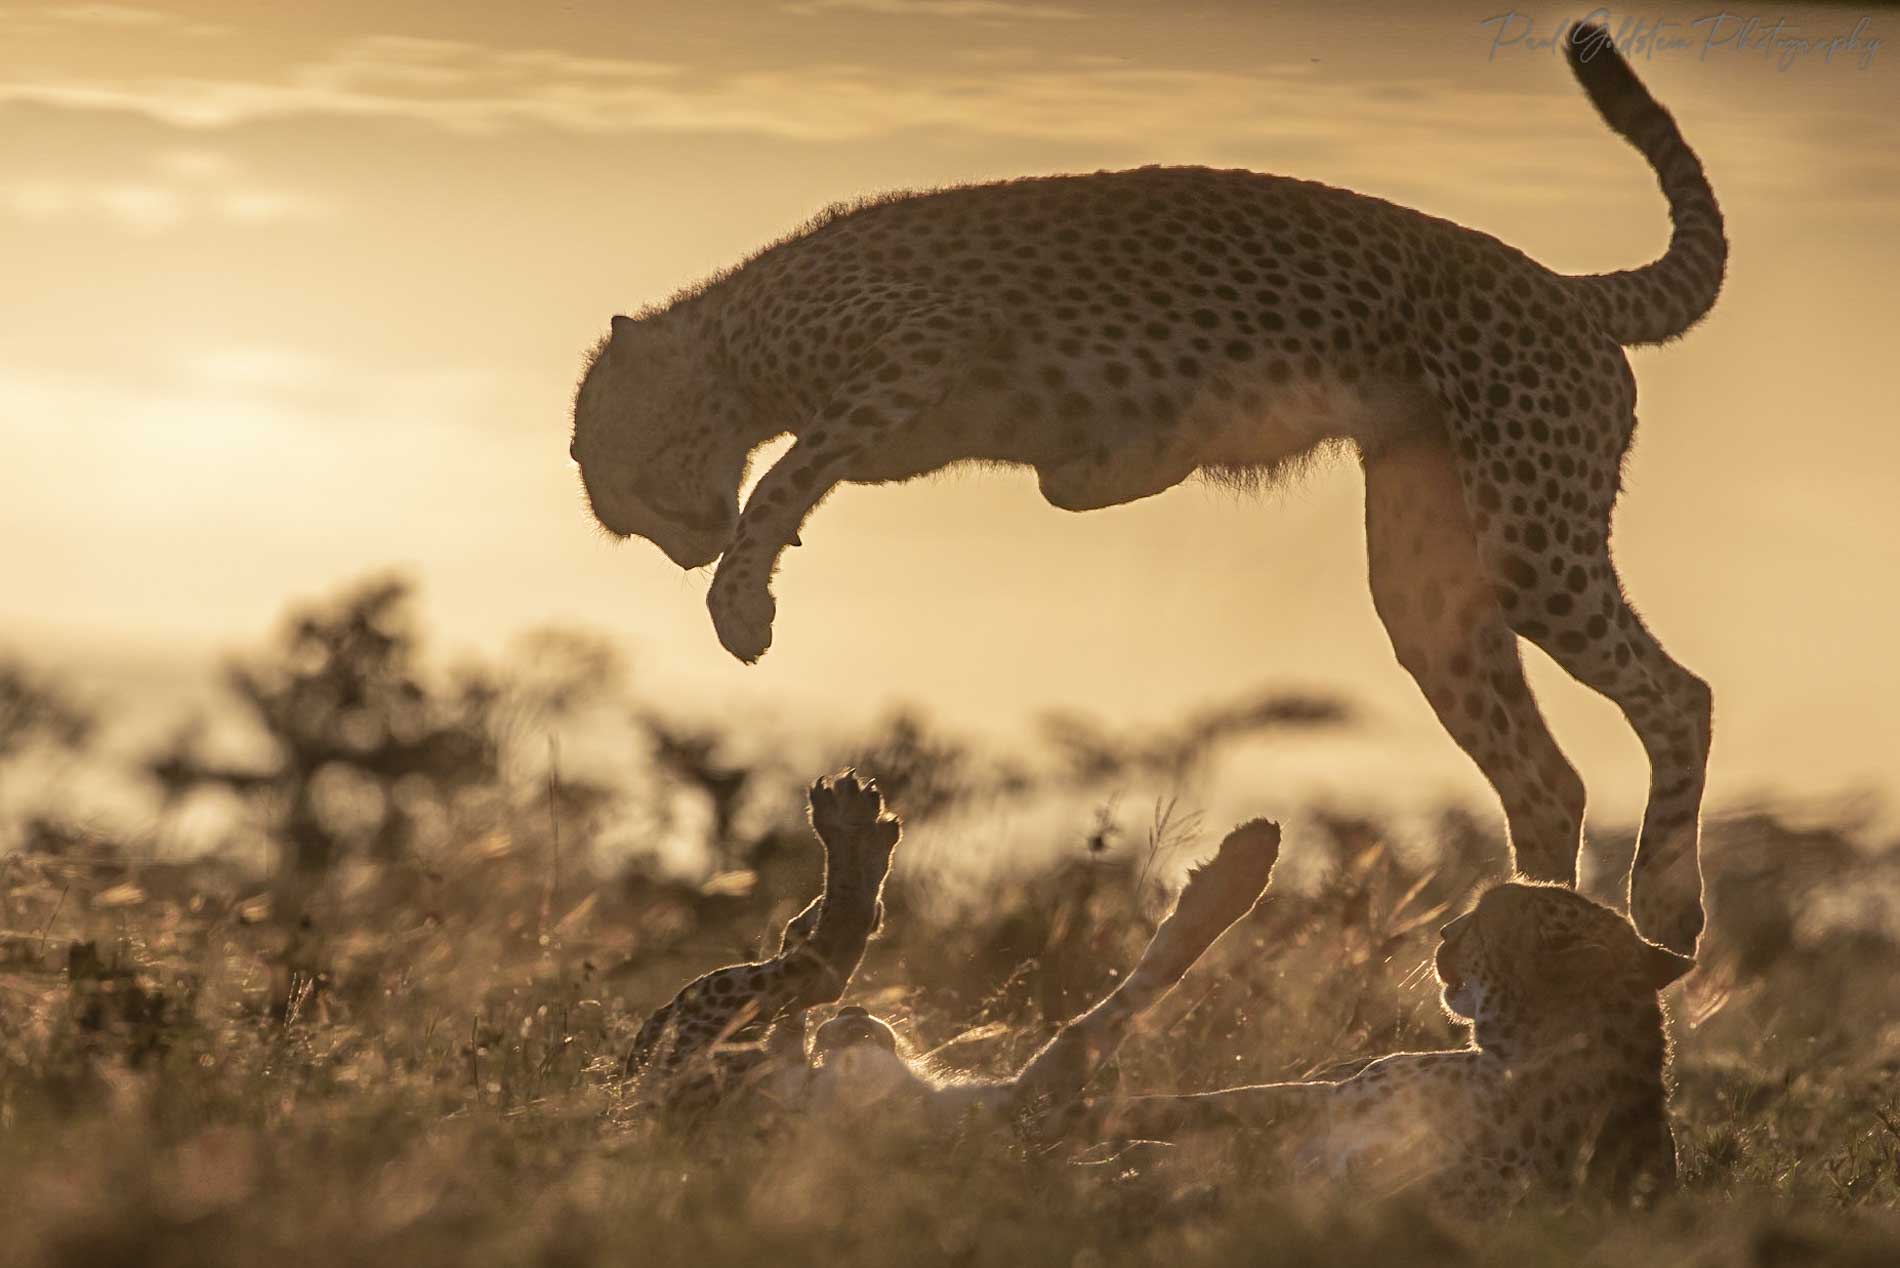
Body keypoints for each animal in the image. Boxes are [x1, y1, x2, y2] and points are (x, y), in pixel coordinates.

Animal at [562, 22, 1725, 950]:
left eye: (632, 477)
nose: (682, 547)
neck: (733, 331)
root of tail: (1564, 286)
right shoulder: (1002, 434)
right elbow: (1059, 484)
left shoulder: (916, 348)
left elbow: (789, 471)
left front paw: (738, 596)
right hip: (1426, 581)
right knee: (1546, 775)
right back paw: (1537, 926)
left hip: (1528, 534)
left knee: (1680, 697)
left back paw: (1663, 903)